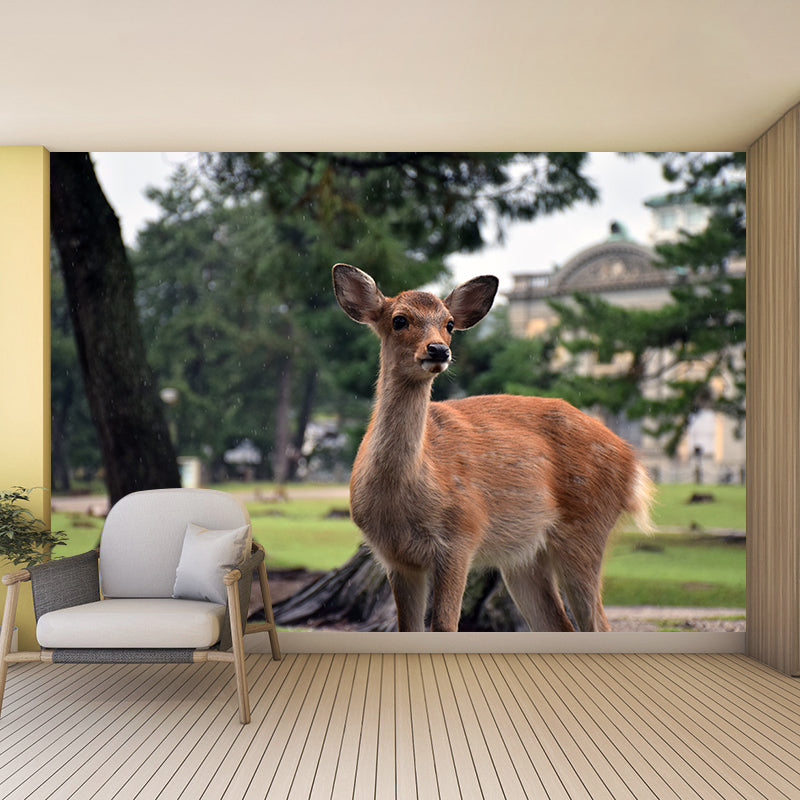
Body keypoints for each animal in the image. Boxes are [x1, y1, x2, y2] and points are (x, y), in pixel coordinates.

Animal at [332, 263, 653, 633]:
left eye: (449, 323)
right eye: (399, 319)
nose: (438, 350)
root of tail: (632, 460)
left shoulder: (461, 534)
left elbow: (445, 626)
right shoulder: (395, 558)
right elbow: (408, 629)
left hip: (587, 527)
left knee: (598, 623)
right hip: (524, 557)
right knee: (560, 625)